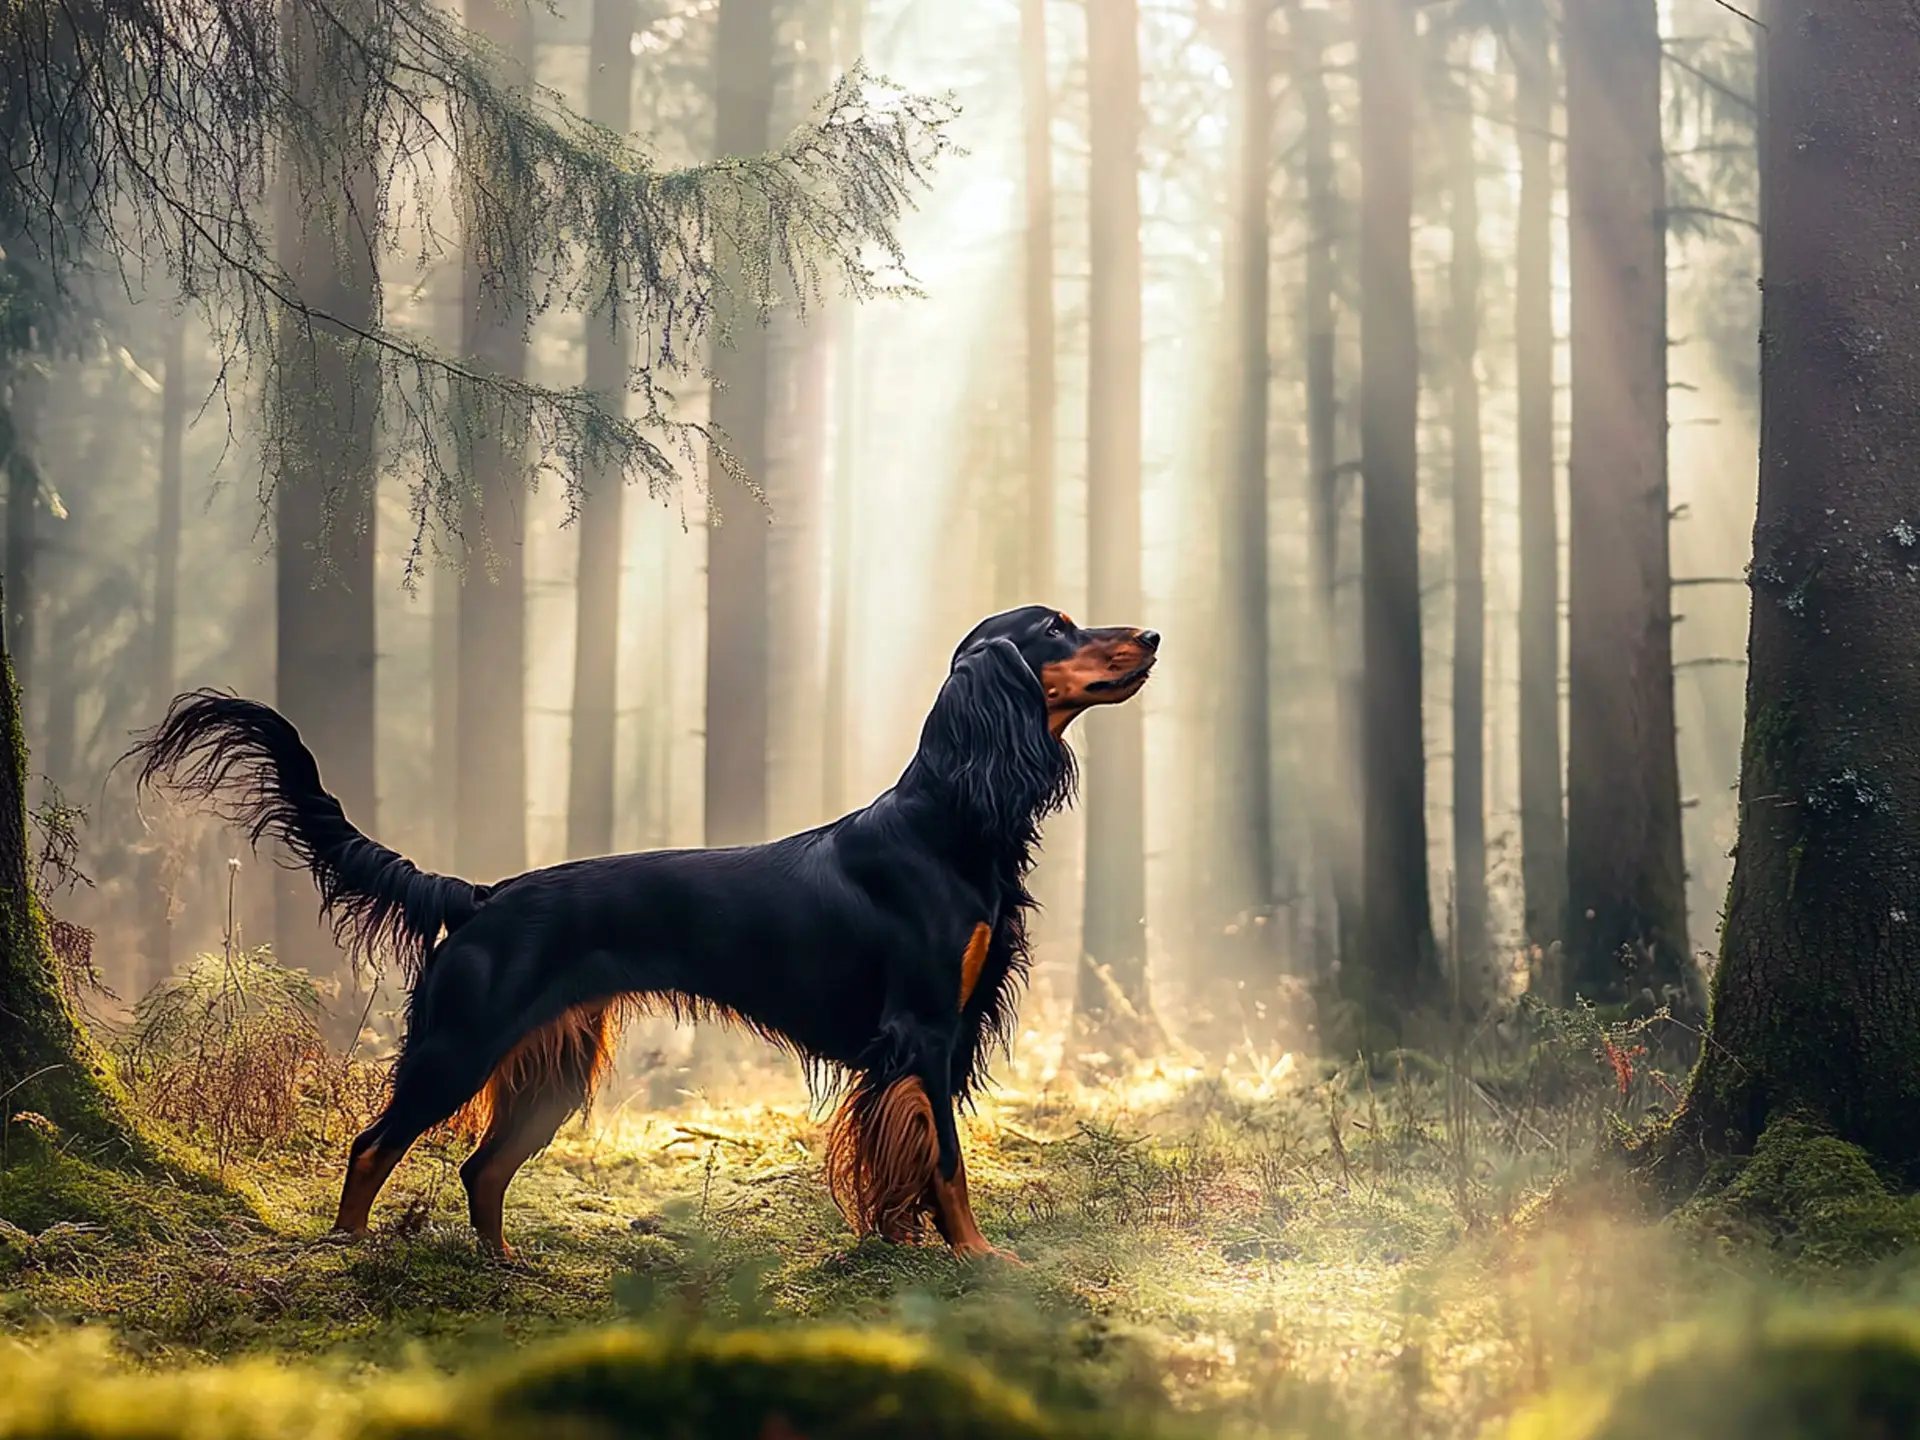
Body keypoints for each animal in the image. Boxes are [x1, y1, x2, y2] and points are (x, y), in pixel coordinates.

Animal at [139, 610, 1152, 1259]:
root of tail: (482, 896)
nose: (1151, 636)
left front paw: (905, 1254)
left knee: (481, 1168)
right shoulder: (922, 1031)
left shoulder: (919, 1045)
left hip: (548, 1071)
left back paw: (502, 1266)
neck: (952, 816)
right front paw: (978, 1259)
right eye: (1056, 627)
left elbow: (899, 1160)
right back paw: (344, 1253)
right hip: (458, 1045)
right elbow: (943, 1159)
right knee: (372, 1145)